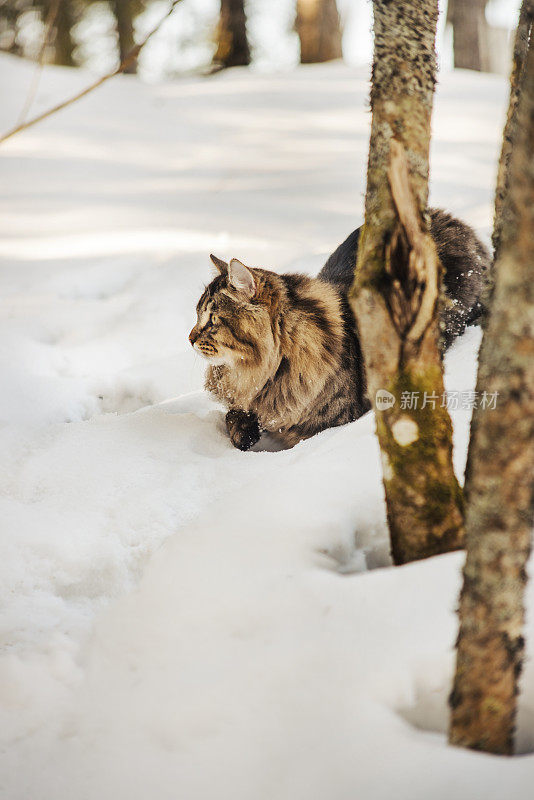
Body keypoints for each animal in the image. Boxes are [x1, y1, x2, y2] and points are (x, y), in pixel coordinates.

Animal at [189, 209, 494, 450]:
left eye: (212, 320)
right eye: (197, 314)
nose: (189, 338)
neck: (272, 370)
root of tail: (455, 221)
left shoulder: (328, 421)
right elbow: (233, 415)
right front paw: (244, 433)